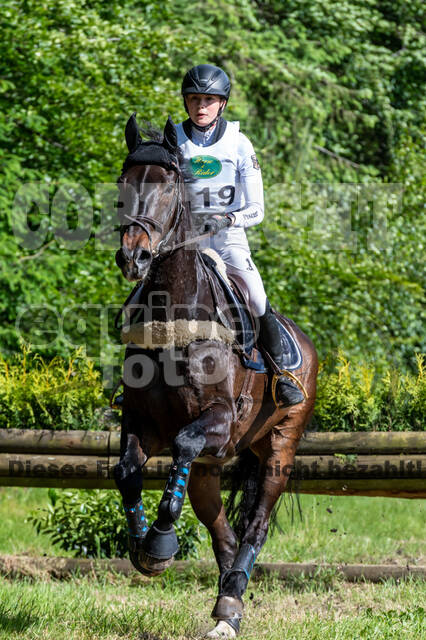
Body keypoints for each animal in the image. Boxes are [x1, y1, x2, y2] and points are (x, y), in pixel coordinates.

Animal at [113, 114, 318, 638]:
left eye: (169, 187)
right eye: (123, 183)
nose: (134, 258)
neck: (174, 314)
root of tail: (305, 341)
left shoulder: (219, 420)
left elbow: (183, 445)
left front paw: (159, 543)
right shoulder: (141, 422)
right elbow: (126, 471)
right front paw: (145, 549)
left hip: (278, 447)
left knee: (255, 524)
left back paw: (230, 600)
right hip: (209, 469)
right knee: (221, 528)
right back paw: (229, 604)